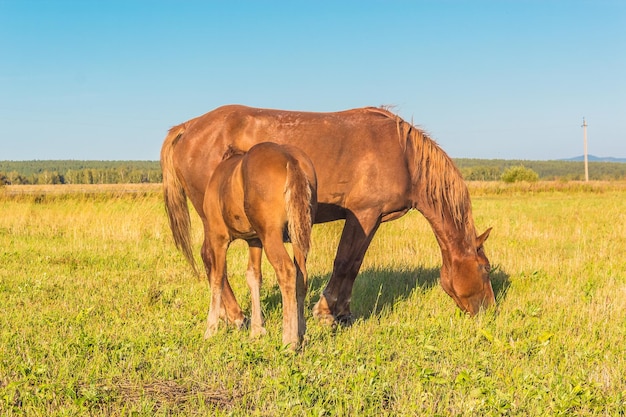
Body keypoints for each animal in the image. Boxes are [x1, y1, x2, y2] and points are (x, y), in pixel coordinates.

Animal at [160, 105, 492, 324]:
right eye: (486, 269)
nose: (489, 310)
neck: (404, 154)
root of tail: (188, 127)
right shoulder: (363, 214)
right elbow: (344, 262)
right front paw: (326, 312)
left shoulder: (372, 219)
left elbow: (354, 264)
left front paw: (343, 313)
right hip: (212, 219)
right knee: (211, 258)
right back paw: (236, 316)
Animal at [202, 143, 314, 348]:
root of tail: (290, 159)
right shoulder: (255, 241)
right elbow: (253, 277)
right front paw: (257, 330)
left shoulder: (218, 238)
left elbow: (217, 278)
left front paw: (211, 329)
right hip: (298, 235)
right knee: (301, 275)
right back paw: (301, 332)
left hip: (272, 236)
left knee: (287, 271)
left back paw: (290, 340)